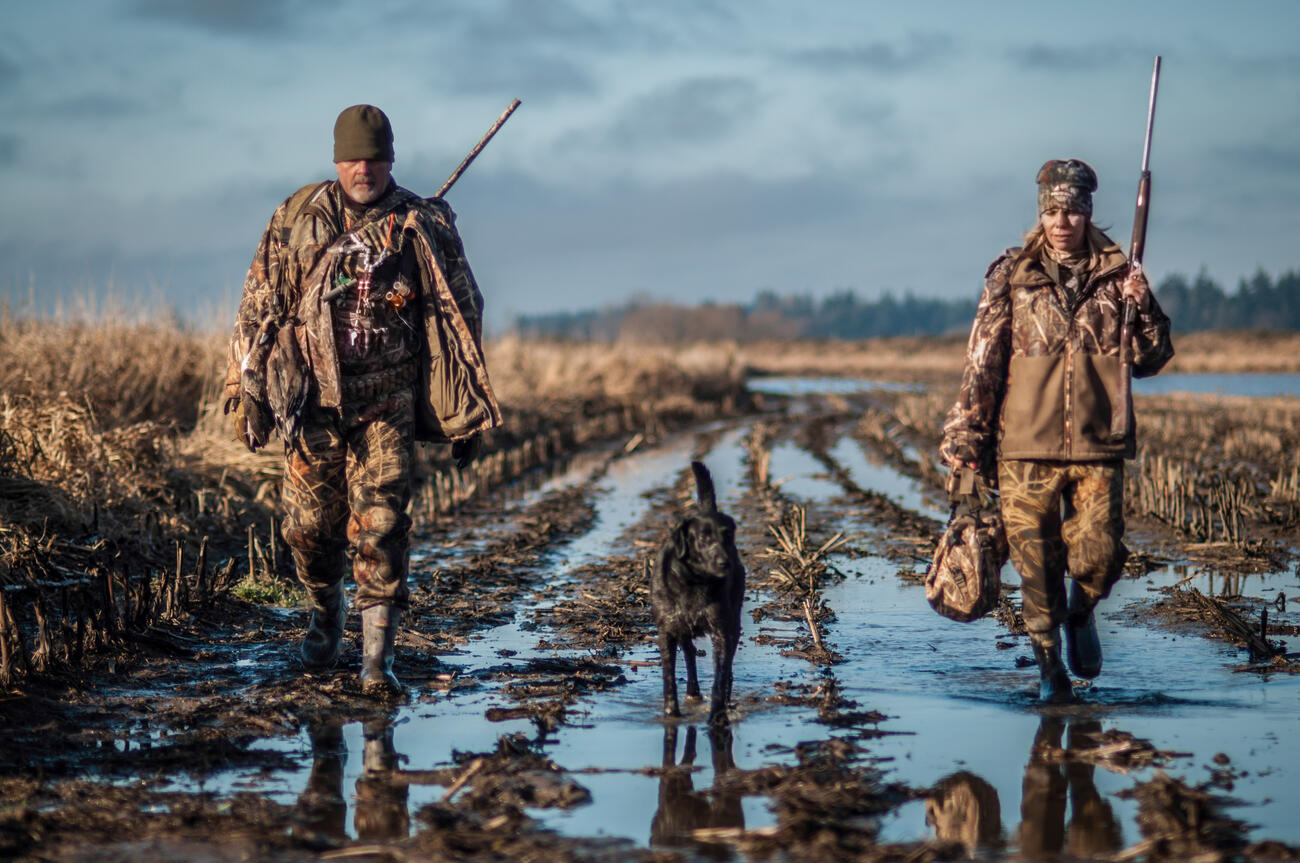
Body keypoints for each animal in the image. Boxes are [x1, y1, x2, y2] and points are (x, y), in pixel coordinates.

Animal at [647, 462, 743, 722]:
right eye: (703, 538)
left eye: (727, 536)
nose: (725, 563)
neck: (694, 583)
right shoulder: (667, 631)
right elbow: (669, 678)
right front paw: (671, 713)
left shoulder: (721, 631)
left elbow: (720, 676)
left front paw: (716, 717)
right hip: (682, 630)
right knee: (689, 656)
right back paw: (692, 693)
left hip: (734, 622)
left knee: (727, 666)